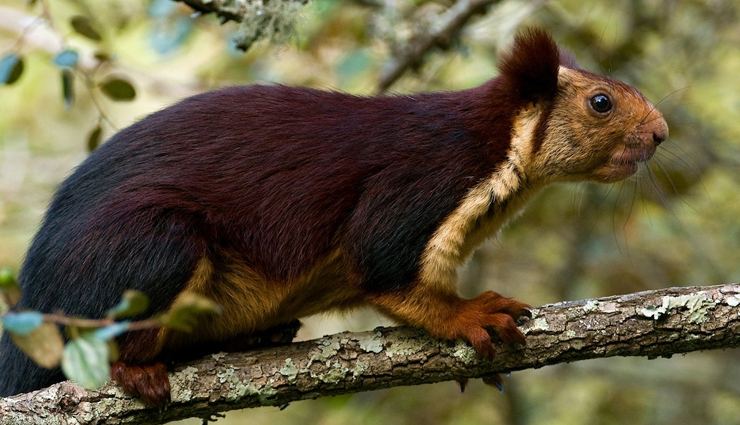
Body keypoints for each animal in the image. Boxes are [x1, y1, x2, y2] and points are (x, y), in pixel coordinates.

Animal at [0, 28, 668, 405]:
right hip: (149, 245)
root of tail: (35, 299)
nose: (662, 133)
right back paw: (135, 370)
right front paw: (469, 314)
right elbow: (382, 266)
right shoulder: (424, 181)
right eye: (601, 102)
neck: (498, 143)